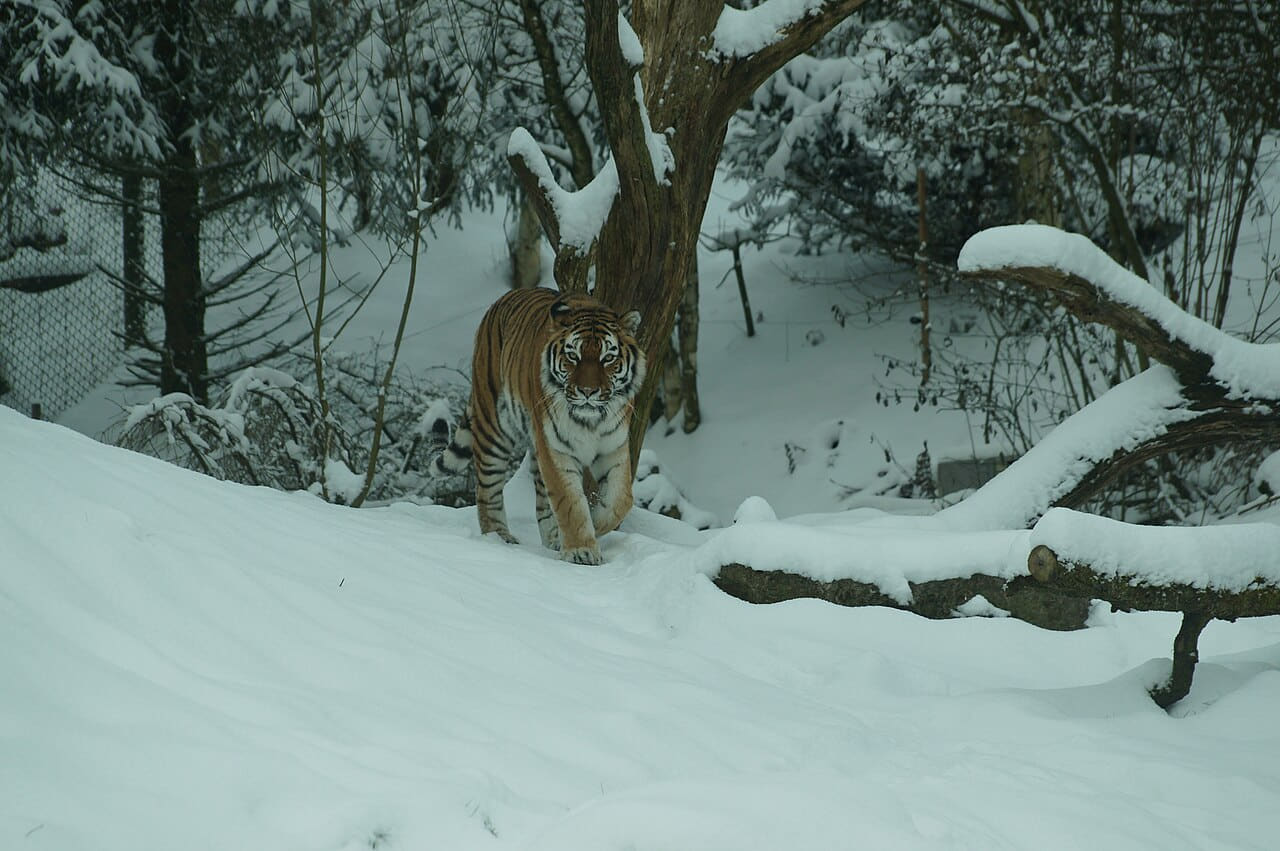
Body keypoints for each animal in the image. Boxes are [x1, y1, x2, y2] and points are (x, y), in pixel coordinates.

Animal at [434, 287, 646, 565]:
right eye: (573, 356)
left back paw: (553, 539)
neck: (592, 420)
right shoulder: (555, 449)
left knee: (543, 499)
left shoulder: (613, 447)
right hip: (495, 428)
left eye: (608, 358)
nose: (587, 391)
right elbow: (569, 502)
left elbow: (621, 500)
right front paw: (581, 550)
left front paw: (594, 526)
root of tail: (504, 298)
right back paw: (498, 537)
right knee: (487, 490)